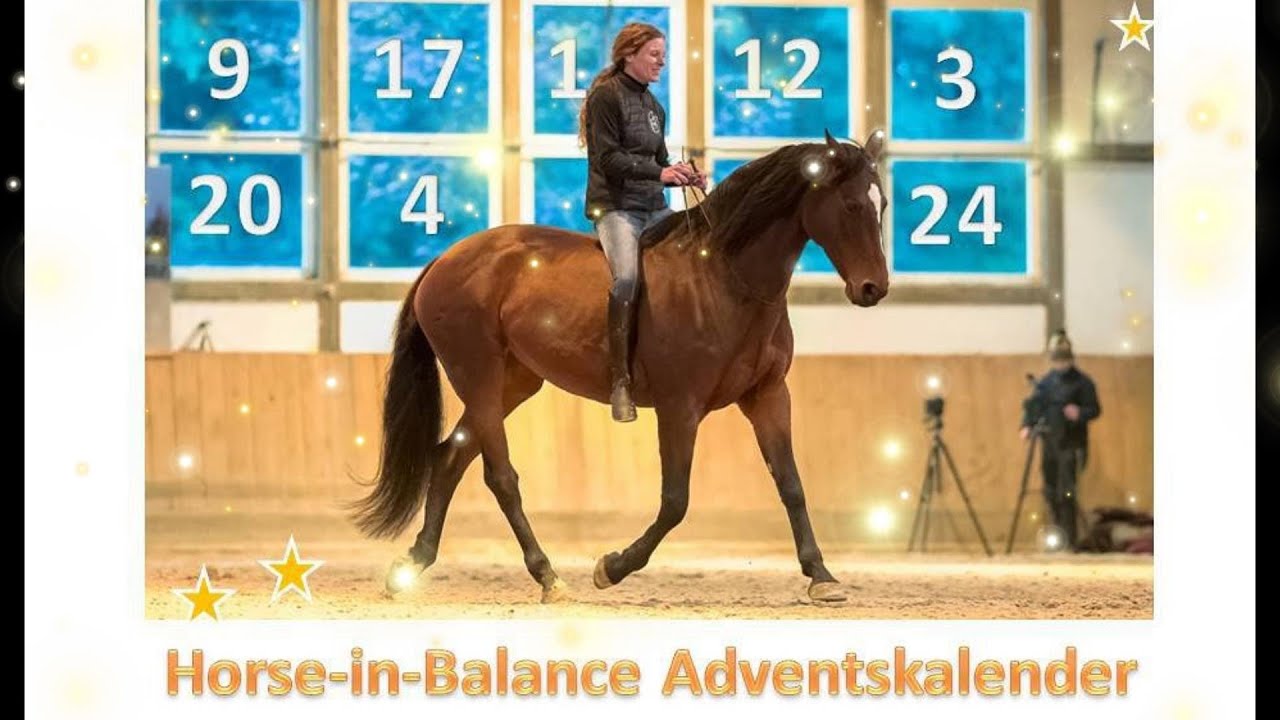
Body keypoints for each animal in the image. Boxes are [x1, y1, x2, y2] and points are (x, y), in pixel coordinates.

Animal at [350, 129, 889, 604]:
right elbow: (675, 501)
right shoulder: (679, 407)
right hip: (478, 378)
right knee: (500, 477)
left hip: (512, 385)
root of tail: (444, 260)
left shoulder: (769, 396)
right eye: (851, 205)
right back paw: (548, 577)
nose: (873, 289)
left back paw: (411, 566)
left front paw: (821, 577)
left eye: (882, 204)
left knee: (448, 460)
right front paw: (611, 567)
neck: (725, 278)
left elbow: (792, 485)